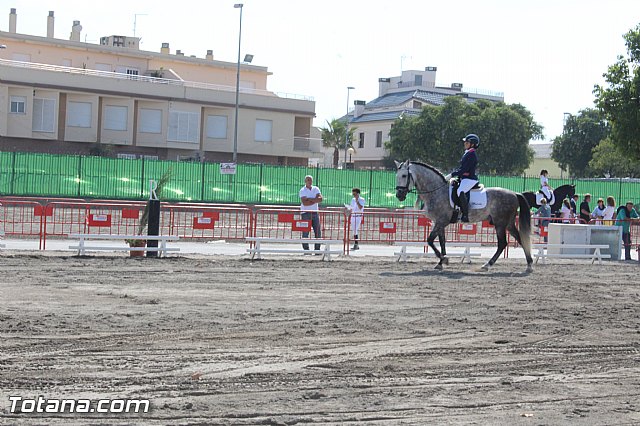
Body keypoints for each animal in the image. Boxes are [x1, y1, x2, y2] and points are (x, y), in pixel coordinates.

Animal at [396, 160, 536, 272]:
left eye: (404, 175)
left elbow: (430, 240)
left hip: (500, 223)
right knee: (519, 238)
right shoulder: (439, 222)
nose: (399, 195)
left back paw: (487, 265)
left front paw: (444, 260)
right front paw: (441, 262)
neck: (437, 191)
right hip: (508, 223)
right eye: (397, 175)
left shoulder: (441, 221)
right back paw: (529, 264)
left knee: (502, 243)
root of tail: (515, 193)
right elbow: (442, 242)